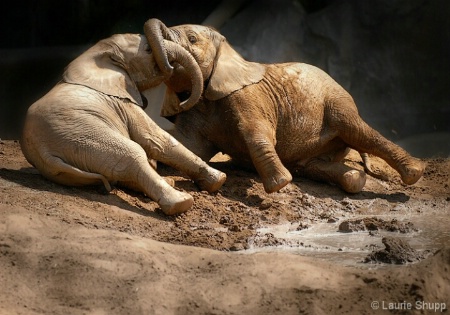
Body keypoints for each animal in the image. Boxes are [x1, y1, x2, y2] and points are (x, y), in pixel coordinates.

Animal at [19, 33, 227, 216]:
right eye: (148, 50)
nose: (182, 103)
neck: (95, 52)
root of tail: (42, 153)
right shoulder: (122, 101)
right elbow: (155, 138)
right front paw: (219, 179)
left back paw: (169, 183)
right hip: (81, 134)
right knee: (131, 154)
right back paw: (180, 202)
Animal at [142, 19, 426, 195]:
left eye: (192, 39)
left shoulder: (249, 96)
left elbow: (257, 132)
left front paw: (279, 184)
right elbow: (188, 145)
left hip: (337, 103)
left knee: (358, 132)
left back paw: (413, 174)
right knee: (315, 166)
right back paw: (356, 179)